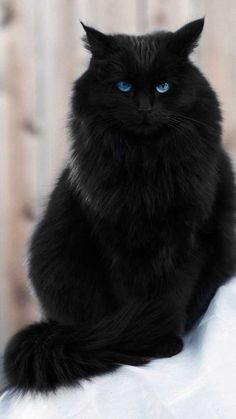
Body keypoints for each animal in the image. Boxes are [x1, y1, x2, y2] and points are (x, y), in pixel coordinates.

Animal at [3, 18, 234, 394]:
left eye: (163, 87)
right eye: (124, 87)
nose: (145, 108)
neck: (147, 167)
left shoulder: (187, 241)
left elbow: (171, 295)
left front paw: (163, 341)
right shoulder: (115, 242)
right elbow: (129, 299)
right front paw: (140, 340)